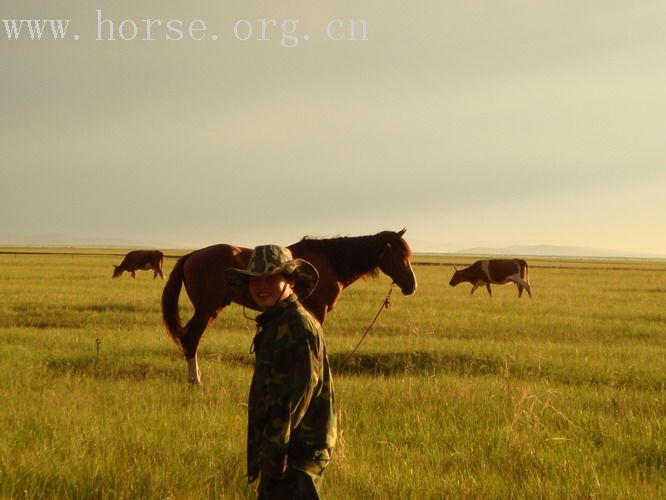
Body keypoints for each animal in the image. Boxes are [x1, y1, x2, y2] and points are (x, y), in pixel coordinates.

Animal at [161, 229, 416, 384]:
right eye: (400, 255)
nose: (411, 285)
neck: (330, 262)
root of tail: (192, 255)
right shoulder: (318, 309)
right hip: (207, 310)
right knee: (191, 338)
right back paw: (195, 380)